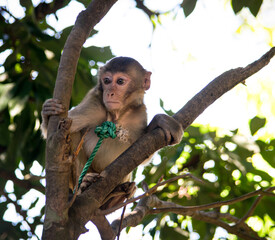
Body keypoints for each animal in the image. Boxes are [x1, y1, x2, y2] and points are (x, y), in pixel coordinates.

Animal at [41, 56, 184, 208]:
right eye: (107, 81)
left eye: (120, 81)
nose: (109, 93)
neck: (117, 114)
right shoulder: (92, 105)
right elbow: (54, 131)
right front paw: (48, 111)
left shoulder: (139, 113)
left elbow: (142, 153)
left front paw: (161, 121)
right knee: (72, 134)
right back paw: (84, 185)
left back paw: (117, 195)